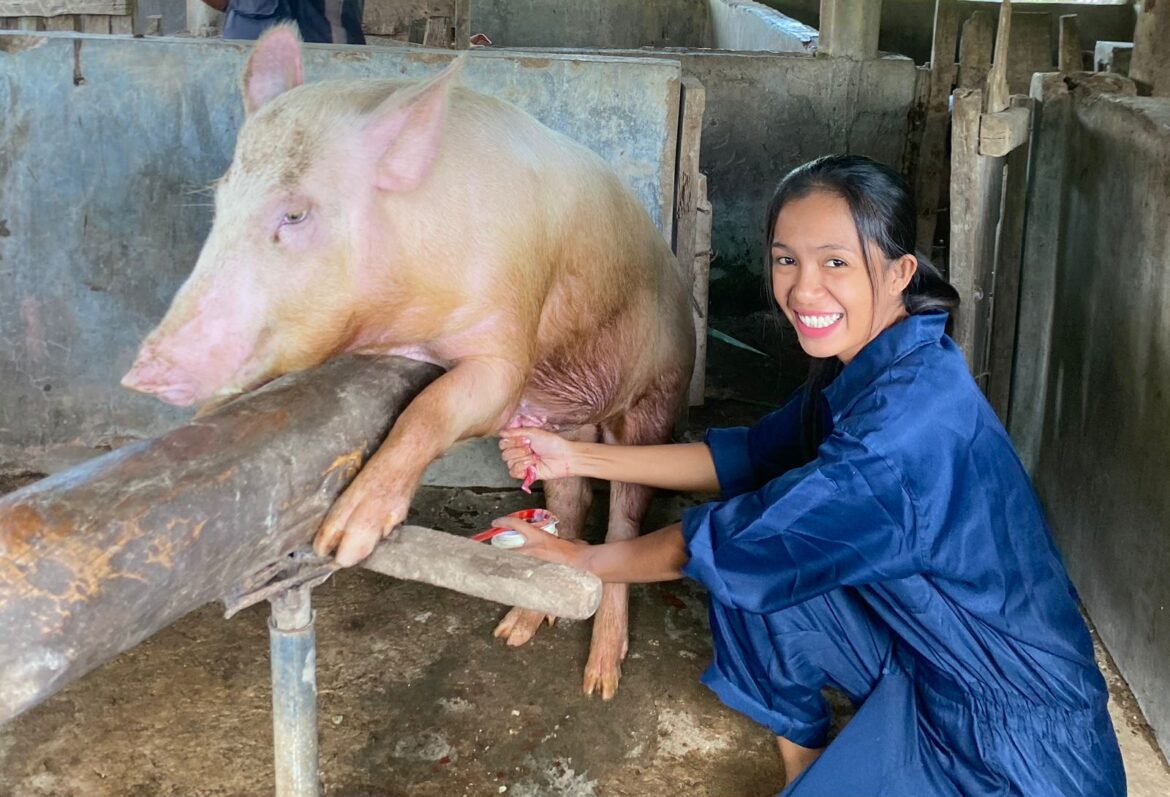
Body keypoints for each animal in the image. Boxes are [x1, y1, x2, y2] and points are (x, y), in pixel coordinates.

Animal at [123, 24, 692, 697]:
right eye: (219, 200)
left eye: (295, 213)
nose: (143, 369)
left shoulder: (505, 335)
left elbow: (434, 406)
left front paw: (344, 539)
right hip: (559, 429)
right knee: (570, 499)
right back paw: (517, 630)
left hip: (656, 399)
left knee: (625, 519)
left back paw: (598, 681)